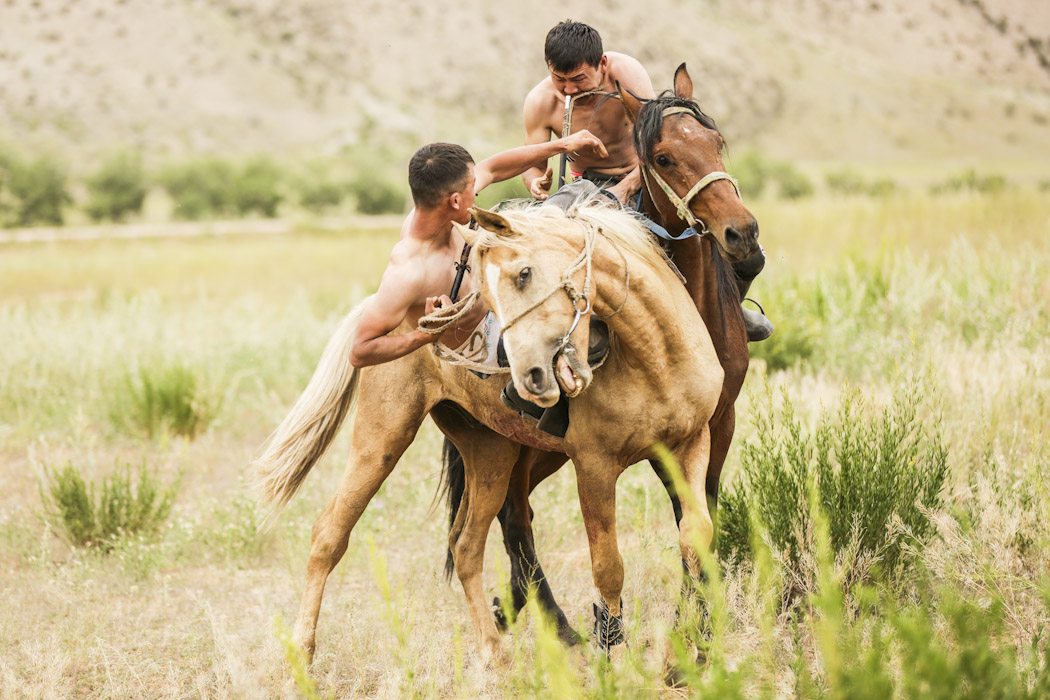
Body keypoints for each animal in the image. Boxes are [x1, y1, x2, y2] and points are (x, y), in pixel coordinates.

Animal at [253, 199, 730, 667]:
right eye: (488, 297)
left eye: (524, 273)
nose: (531, 377)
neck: (656, 356)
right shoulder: (595, 467)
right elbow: (608, 567)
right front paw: (616, 660)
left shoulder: (692, 444)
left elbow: (695, 538)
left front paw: (688, 651)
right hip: (383, 439)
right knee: (329, 535)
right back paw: (302, 655)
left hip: (490, 454)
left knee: (466, 546)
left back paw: (494, 655)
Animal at [440, 62, 755, 642]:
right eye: (663, 158)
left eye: (717, 141)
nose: (741, 233)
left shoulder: (715, 424)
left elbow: (699, 518)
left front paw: (700, 621)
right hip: (517, 441)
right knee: (513, 518)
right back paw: (555, 626)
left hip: (537, 448)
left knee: (517, 512)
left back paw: (517, 607)